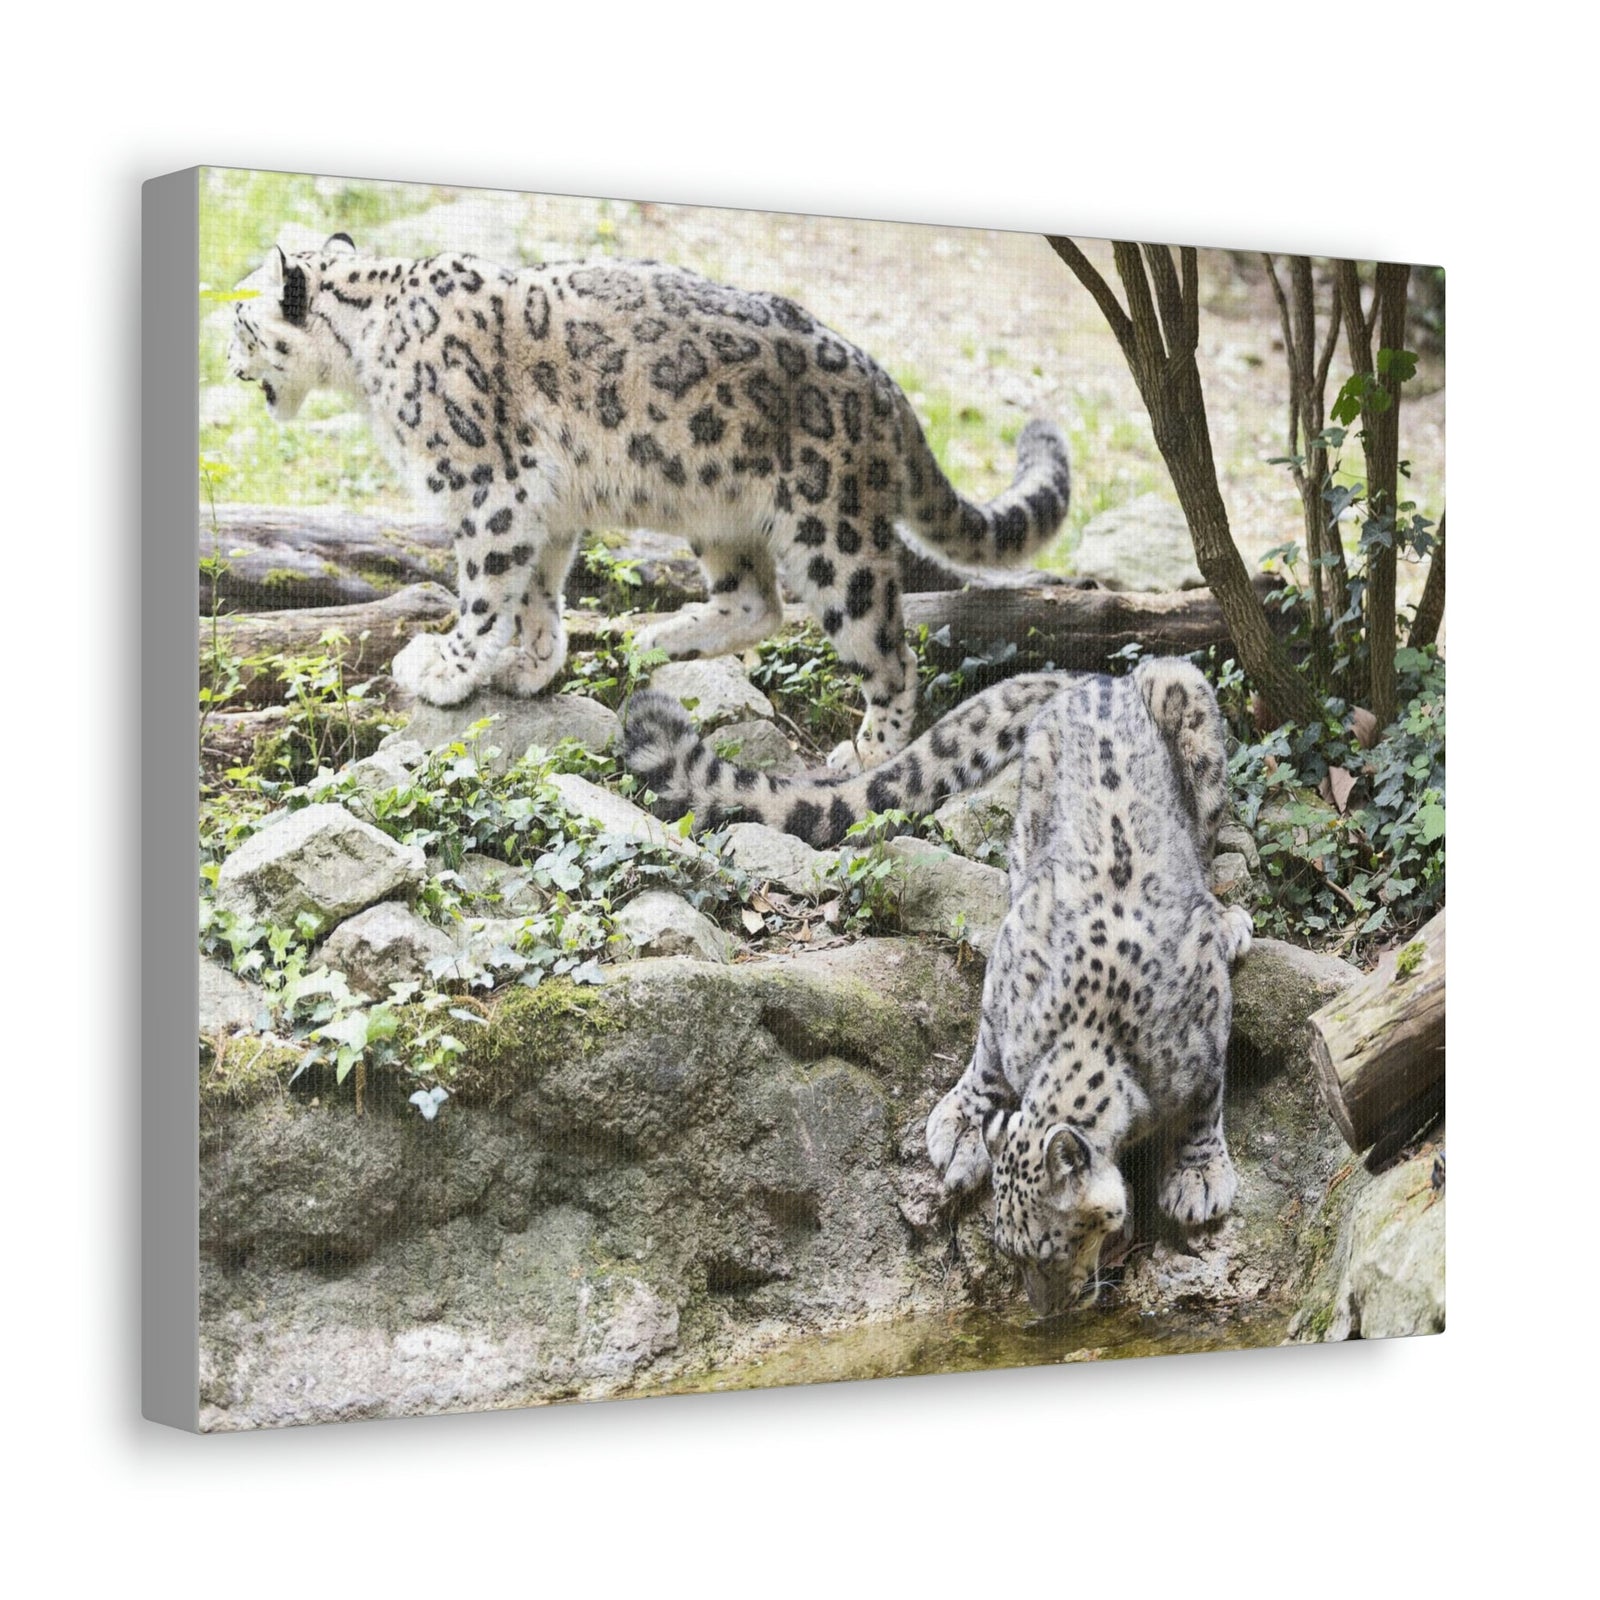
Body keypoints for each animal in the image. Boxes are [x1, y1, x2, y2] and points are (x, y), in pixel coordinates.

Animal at [228, 234, 1072, 768]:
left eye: (241, 318)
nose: (227, 359)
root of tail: (887, 387)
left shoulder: (489, 488)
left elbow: (484, 590)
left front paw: (446, 666)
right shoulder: (542, 506)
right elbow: (537, 590)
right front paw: (532, 665)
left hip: (832, 533)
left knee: (888, 653)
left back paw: (867, 750)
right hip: (718, 512)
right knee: (756, 604)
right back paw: (661, 639)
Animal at [625, 657, 1252, 1316]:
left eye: (1053, 1247)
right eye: (1009, 1247)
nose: (1044, 1312)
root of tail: (1097, 679)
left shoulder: (1204, 1024)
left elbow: (1205, 1101)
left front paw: (1197, 1175)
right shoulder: (1011, 977)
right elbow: (986, 1059)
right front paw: (963, 1124)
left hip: (1188, 705)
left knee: (1207, 845)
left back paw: (1227, 918)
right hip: (1033, 811)